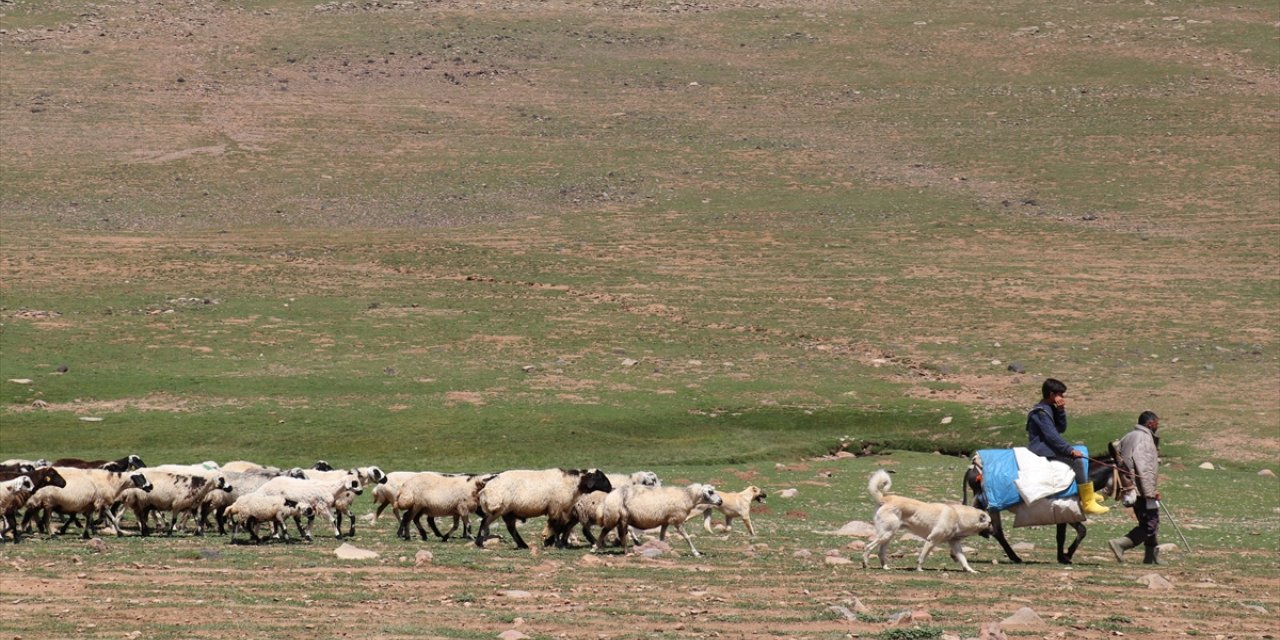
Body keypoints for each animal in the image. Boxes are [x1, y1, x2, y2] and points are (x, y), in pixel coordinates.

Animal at [476, 465, 614, 550]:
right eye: (601, 478)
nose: (611, 489)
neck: (575, 483)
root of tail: (488, 483)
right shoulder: (556, 506)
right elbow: (556, 526)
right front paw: (556, 543)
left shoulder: (558, 509)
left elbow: (557, 526)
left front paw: (550, 542)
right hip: (498, 508)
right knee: (485, 522)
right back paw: (480, 543)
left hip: (508, 511)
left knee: (511, 528)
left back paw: (523, 545)